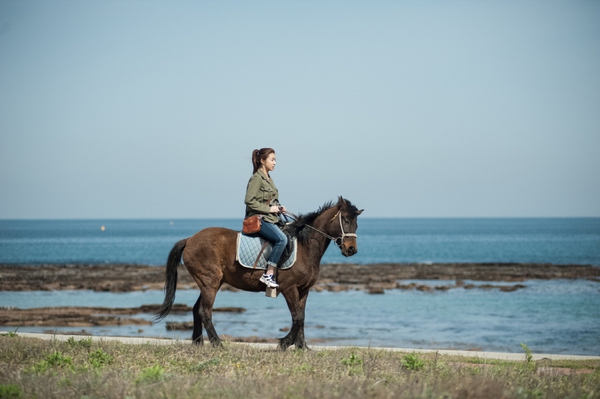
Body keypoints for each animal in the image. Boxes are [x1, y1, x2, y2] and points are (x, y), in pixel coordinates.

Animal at [156, 197, 360, 350]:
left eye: (356, 224)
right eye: (346, 220)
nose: (351, 249)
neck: (305, 246)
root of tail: (190, 239)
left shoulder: (304, 290)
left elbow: (301, 317)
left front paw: (302, 347)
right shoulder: (289, 288)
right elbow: (297, 317)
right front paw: (284, 343)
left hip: (211, 283)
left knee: (196, 309)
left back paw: (198, 342)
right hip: (210, 282)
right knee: (204, 311)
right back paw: (217, 344)